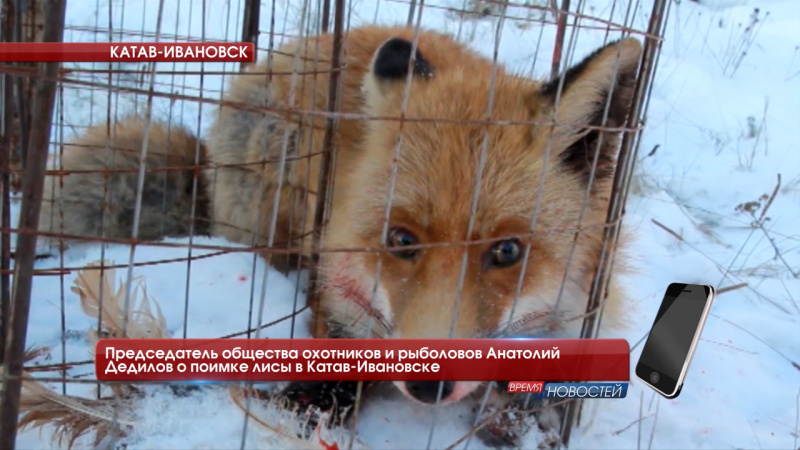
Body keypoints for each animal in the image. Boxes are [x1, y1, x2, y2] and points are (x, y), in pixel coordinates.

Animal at [37, 26, 643, 448]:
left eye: (508, 251)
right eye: (401, 240)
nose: (428, 387)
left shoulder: (582, 313)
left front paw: (520, 418)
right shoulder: (340, 286)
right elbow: (333, 368)